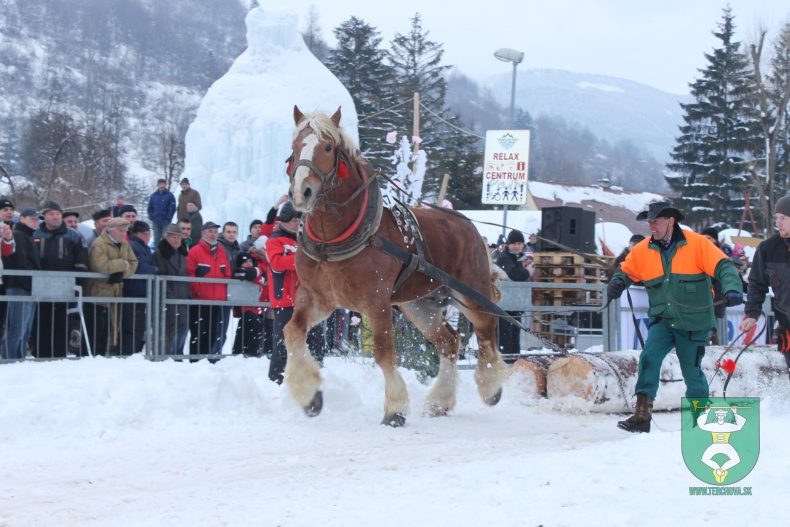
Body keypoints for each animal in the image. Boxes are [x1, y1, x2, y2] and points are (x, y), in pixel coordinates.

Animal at [284, 105, 508, 426]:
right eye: (295, 146)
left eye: (327, 147)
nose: (301, 193)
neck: (338, 237)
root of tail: (468, 224)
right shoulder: (318, 299)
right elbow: (292, 331)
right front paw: (309, 395)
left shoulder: (376, 302)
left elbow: (383, 353)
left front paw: (395, 409)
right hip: (420, 304)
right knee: (449, 342)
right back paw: (439, 401)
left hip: (470, 293)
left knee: (486, 332)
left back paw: (491, 387)